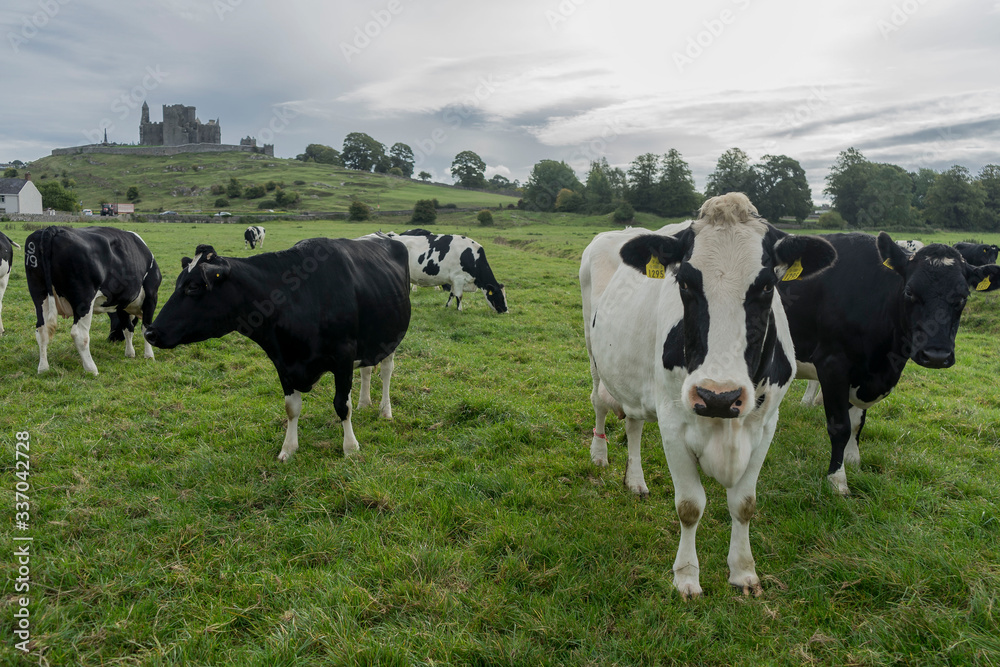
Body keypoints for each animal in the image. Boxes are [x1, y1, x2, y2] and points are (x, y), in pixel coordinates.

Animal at [24, 227, 161, 376]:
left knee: (42, 330)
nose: (111, 339)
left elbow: (128, 328)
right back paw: (91, 369)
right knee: (79, 334)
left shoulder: (121, 303)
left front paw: (130, 353)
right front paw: (149, 356)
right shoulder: (151, 297)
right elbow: (145, 327)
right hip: (84, 300)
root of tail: (53, 229)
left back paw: (43, 368)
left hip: (39, 295)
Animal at [142, 234, 410, 460]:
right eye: (178, 283)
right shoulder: (283, 362)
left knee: (386, 371)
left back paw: (385, 411)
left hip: (391, 336)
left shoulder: (343, 355)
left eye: (193, 287)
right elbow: (291, 408)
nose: (150, 332)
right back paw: (365, 403)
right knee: (366, 369)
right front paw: (288, 449)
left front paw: (350, 447)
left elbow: (342, 405)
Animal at [580, 193, 836, 600]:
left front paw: (744, 571)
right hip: (593, 355)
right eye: (685, 282)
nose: (718, 396)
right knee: (599, 404)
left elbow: (744, 504)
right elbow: (690, 506)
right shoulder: (673, 423)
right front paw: (686, 577)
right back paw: (599, 454)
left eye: (767, 285)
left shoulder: (766, 425)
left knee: (634, 423)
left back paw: (635, 480)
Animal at [780, 231, 1000, 496]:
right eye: (909, 292)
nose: (936, 355)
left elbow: (857, 423)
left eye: (963, 297)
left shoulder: (864, 373)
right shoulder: (832, 364)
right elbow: (840, 426)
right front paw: (837, 481)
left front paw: (853, 461)